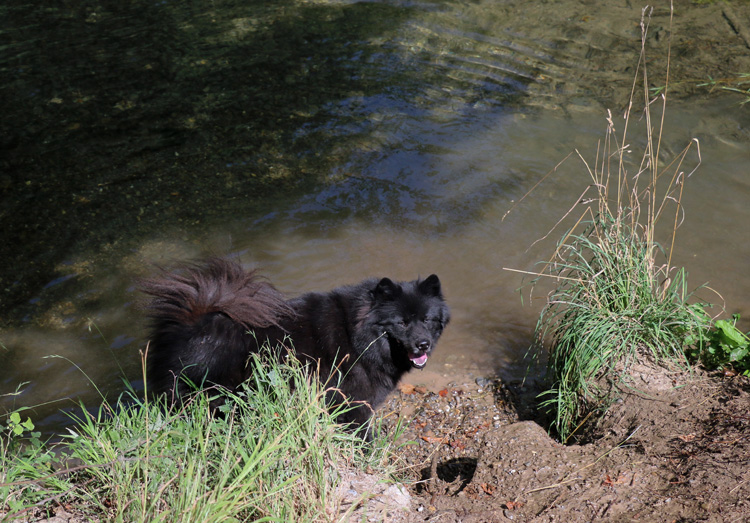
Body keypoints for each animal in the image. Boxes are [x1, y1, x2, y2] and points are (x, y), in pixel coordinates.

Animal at [140, 258, 452, 434]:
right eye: (402, 322)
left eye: (427, 319)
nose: (423, 344)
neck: (358, 338)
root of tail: (194, 319)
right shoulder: (351, 403)